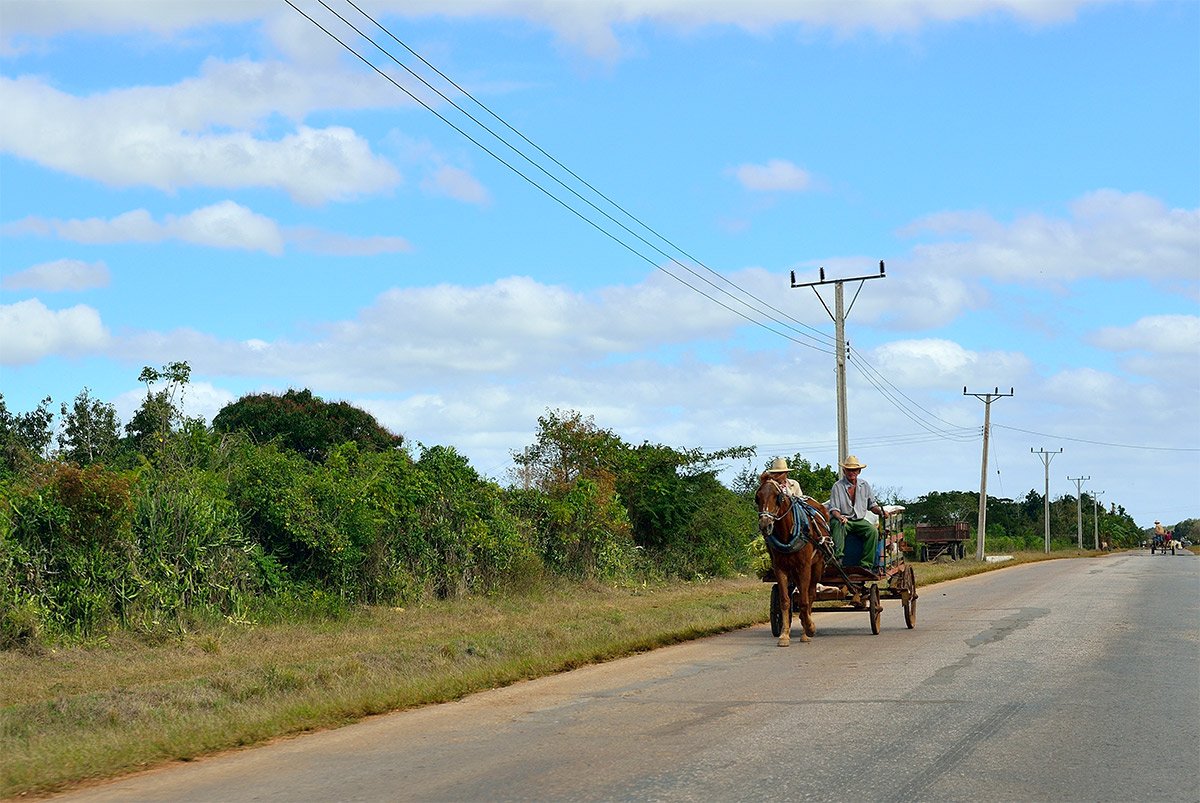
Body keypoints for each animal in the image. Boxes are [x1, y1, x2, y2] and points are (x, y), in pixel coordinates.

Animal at [753, 470, 830, 643]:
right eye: (757, 497)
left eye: (778, 496)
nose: (765, 524)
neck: (787, 534)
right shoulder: (780, 568)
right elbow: (785, 601)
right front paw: (784, 635)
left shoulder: (804, 567)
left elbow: (804, 601)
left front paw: (809, 628)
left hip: (817, 566)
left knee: (810, 595)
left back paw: (806, 629)